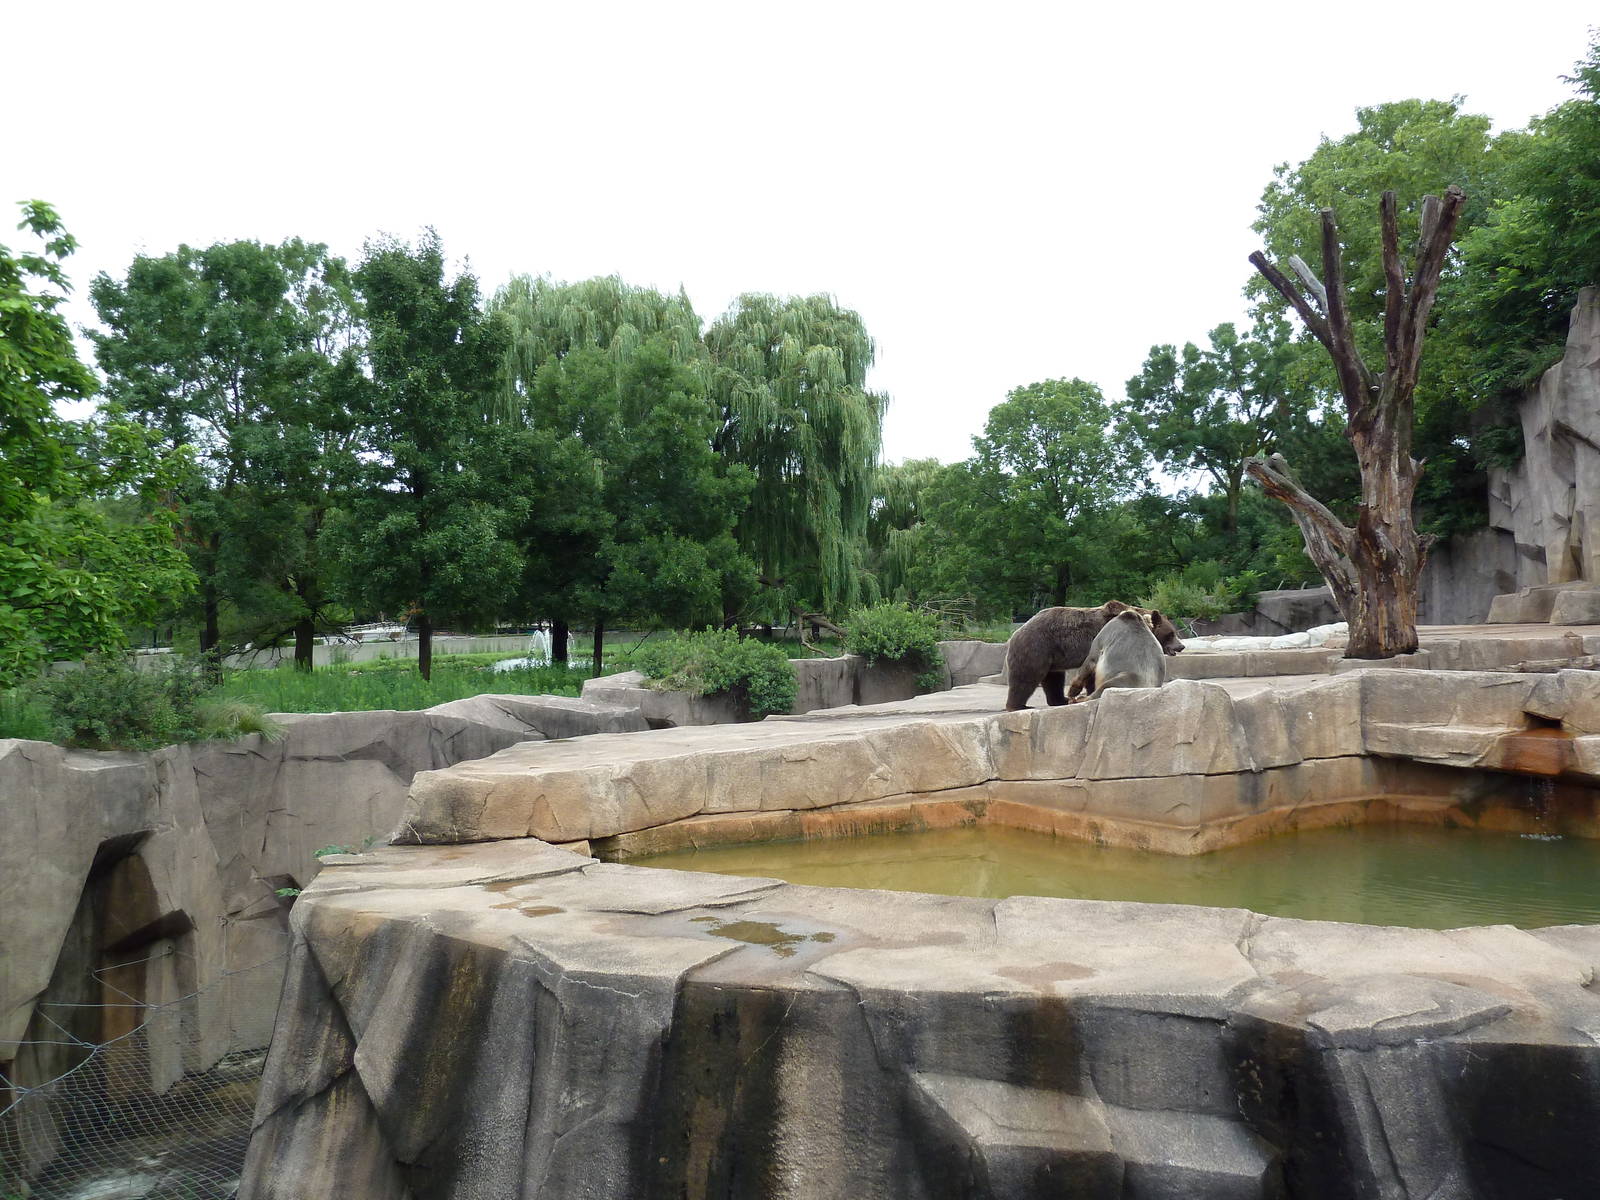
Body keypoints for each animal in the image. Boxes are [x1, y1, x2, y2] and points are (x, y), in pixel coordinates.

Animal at [1003, 601, 1183, 711]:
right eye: (1171, 633)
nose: (1181, 646)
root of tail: (1016, 632)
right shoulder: (1098, 637)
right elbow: (1091, 666)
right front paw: (1082, 690)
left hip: (1053, 657)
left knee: (1053, 678)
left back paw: (1059, 700)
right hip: (1036, 647)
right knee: (1026, 677)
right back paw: (1018, 706)